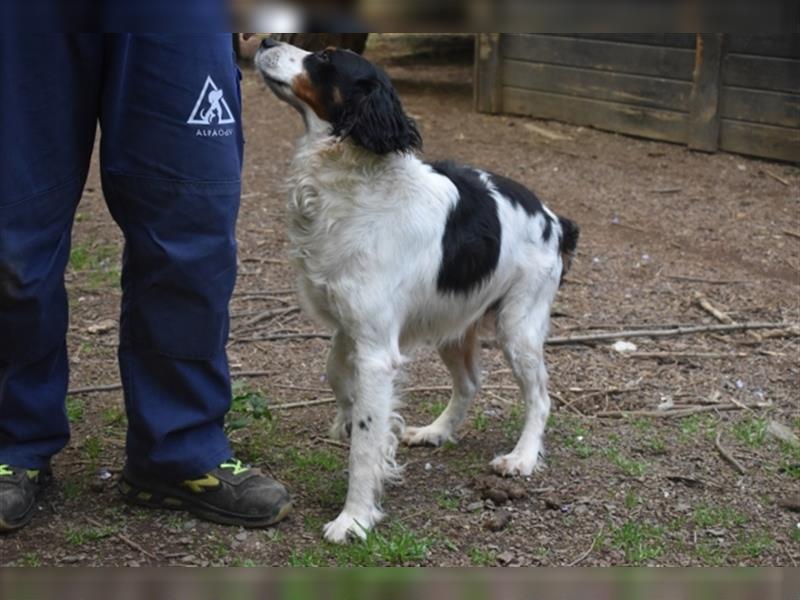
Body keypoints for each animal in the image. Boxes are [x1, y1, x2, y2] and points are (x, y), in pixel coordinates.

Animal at [255, 39, 576, 540]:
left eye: (325, 57)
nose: (266, 41)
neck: (353, 187)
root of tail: (555, 219)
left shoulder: (375, 349)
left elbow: (366, 441)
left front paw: (354, 518)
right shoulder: (351, 326)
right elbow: (336, 376)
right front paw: (349, 419)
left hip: (517, 327)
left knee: (540, 398)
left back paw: (521, 458)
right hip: (453, 323)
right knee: (469, 383)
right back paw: (437, 431)